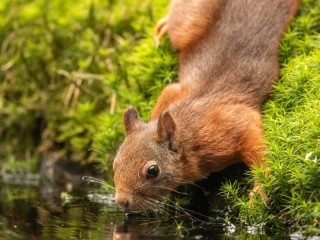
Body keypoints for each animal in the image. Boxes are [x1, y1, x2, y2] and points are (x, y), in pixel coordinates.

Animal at [112, 0, 300, 210]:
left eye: (153, 171)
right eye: (115, 163)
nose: (121, 201)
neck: (188, 132)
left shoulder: (231, 121)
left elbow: (257, 146)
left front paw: (261, 187)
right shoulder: (174, 92)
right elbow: (168, 91)